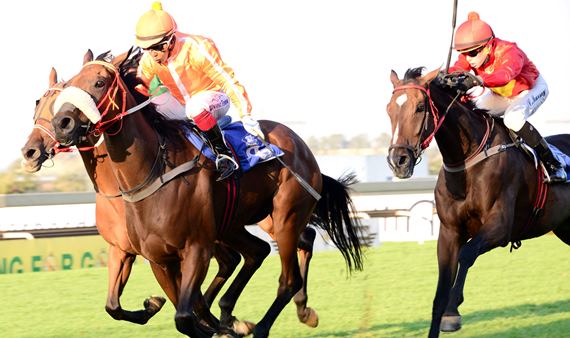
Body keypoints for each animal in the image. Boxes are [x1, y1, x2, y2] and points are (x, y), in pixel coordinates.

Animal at [384, 66, 568, 338]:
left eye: (420, 107)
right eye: (389, 108)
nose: (398, 160)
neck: (468, 162)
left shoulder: (500, 227)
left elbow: (467, 254)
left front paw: (453, 312)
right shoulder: (449, 232)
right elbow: (439, 292)